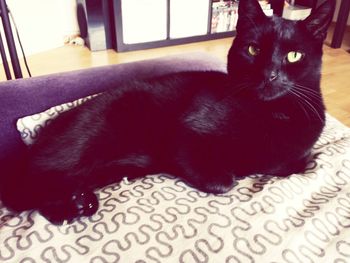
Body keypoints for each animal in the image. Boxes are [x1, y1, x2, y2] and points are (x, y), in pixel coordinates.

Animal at [2, 0, 336, 225]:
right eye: (253, 50)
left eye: (294, 55)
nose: (269, 75)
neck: (271, 114)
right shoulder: (185, 133)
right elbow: (225, 180)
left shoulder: (297, 157)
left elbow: (290, 164)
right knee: (28, 190)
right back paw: (76, 205)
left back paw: (79, 200)